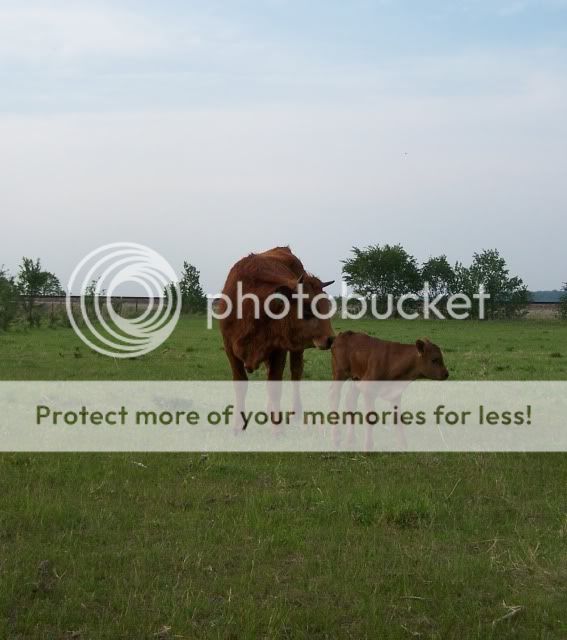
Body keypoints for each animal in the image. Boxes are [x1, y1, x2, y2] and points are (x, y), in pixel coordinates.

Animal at [219, 246, 335, 426]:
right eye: (307, 309)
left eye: (327, 306)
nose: (330, 339)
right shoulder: (229, 348)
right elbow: (240, 384)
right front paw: (238, 424)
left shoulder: (279, 349)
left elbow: (275, 386)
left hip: (296, 350)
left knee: (296, 372)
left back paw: (296, 411)